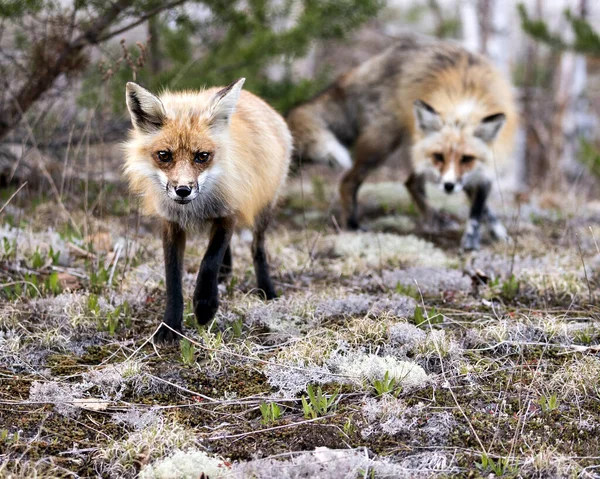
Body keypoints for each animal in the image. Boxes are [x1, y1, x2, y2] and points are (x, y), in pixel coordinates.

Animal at [286, 34, 516, 251]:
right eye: (440, 156)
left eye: (466, 158)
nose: (448, 186)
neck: (463, 104)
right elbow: (477, 207)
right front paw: (472, 241)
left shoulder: (485, 166)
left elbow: (479, 207)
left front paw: (492, 233)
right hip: (383, 143)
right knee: (348, 182)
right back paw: (352, 225)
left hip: (414, 147)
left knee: (411, 183)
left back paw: (433, 219)